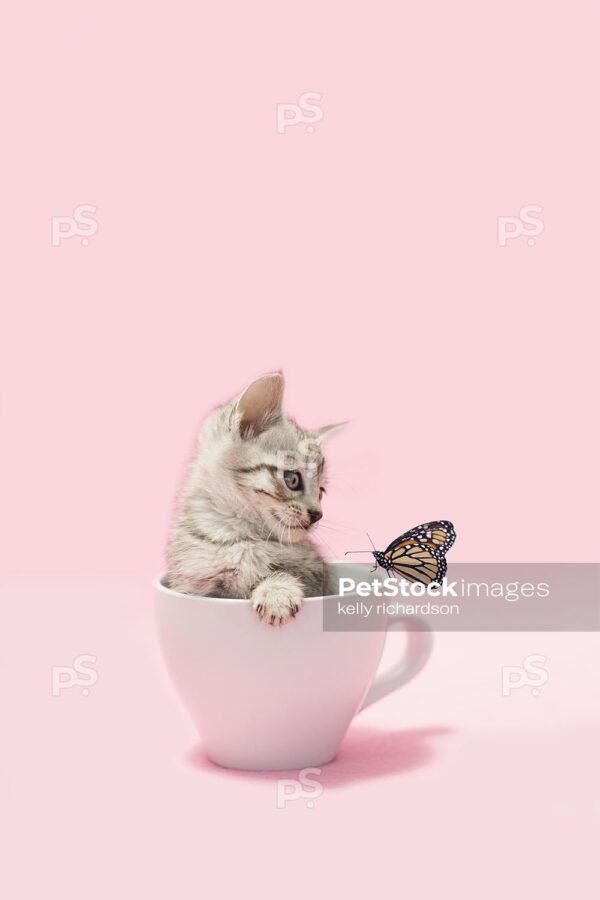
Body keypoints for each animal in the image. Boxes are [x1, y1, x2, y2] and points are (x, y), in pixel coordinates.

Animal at [166, 372, 344, 624]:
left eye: (320, 492)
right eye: (292, 479)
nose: (317, 514)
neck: (242, 538)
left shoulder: (315, 574)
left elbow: (283, 572)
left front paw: (277, 594)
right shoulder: (192, 581)